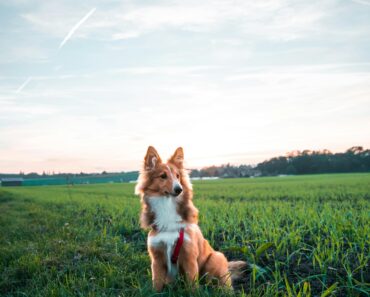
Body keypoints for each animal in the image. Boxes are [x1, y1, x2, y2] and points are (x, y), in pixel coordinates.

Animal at [135, 146, 246, 290]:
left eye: (177, 176)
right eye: (163, 176)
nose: (179, 189)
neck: (167, 206)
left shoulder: (189, 257)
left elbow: (193, 286)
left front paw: (194, 292)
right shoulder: (157, 259)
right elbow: (157, 283)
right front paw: (155, 292)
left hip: (216, 257)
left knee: (223, 284)